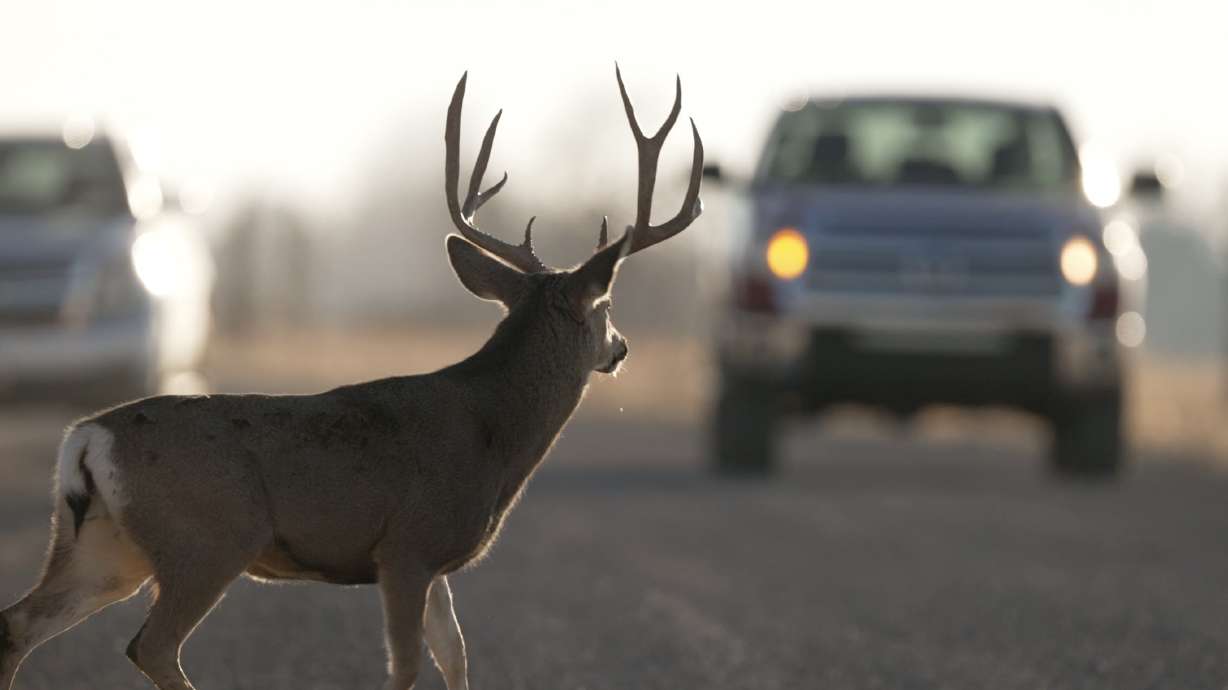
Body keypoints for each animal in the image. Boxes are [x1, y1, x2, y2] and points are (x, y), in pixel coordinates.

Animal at [0, 66, 702, 690]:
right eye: (606, 306)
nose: (622, 348)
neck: (492, 434)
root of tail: (86, 437)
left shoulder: (434, 562)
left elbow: (456, 657)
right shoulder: (407, 544)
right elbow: (407, 664)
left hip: (103, 545)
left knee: (18, 624)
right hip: (206, 539)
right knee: (150, 646)